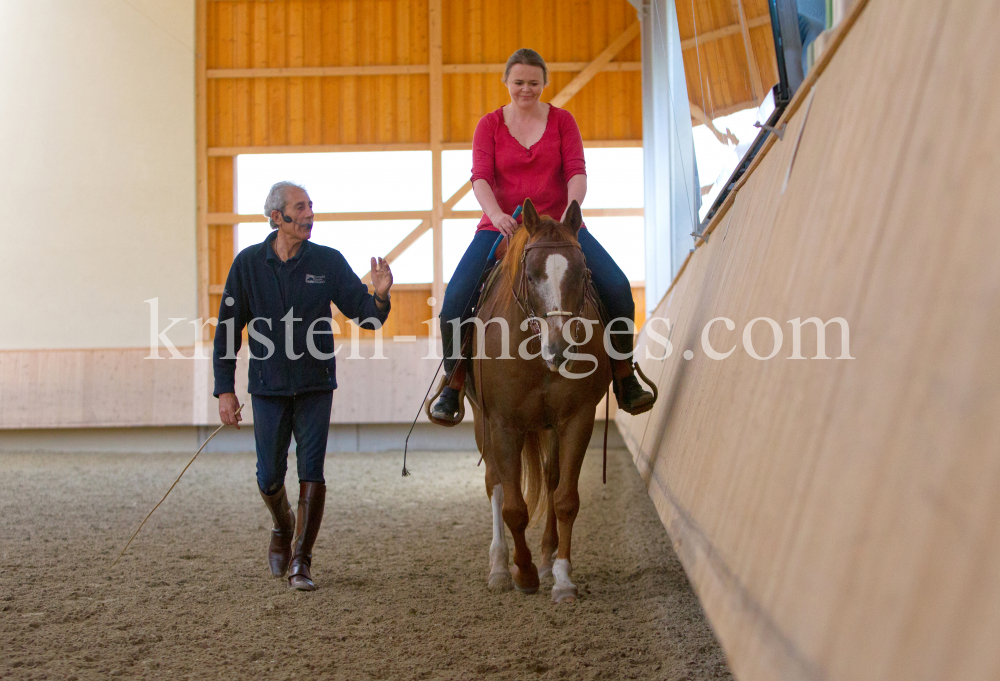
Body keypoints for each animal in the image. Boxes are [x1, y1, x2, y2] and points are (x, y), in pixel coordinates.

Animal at [462, 199, 608, 604]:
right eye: (530, 276)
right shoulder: (503, 424)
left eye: (582, 272)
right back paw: (500, 567)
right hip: (482, 423)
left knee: (552, 477)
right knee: (495, 484)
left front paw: (561, 577)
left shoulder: (577, 419)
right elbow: (514, 507)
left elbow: (565, 499)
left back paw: (545, 560)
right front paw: (523, 574)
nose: (559, 349)